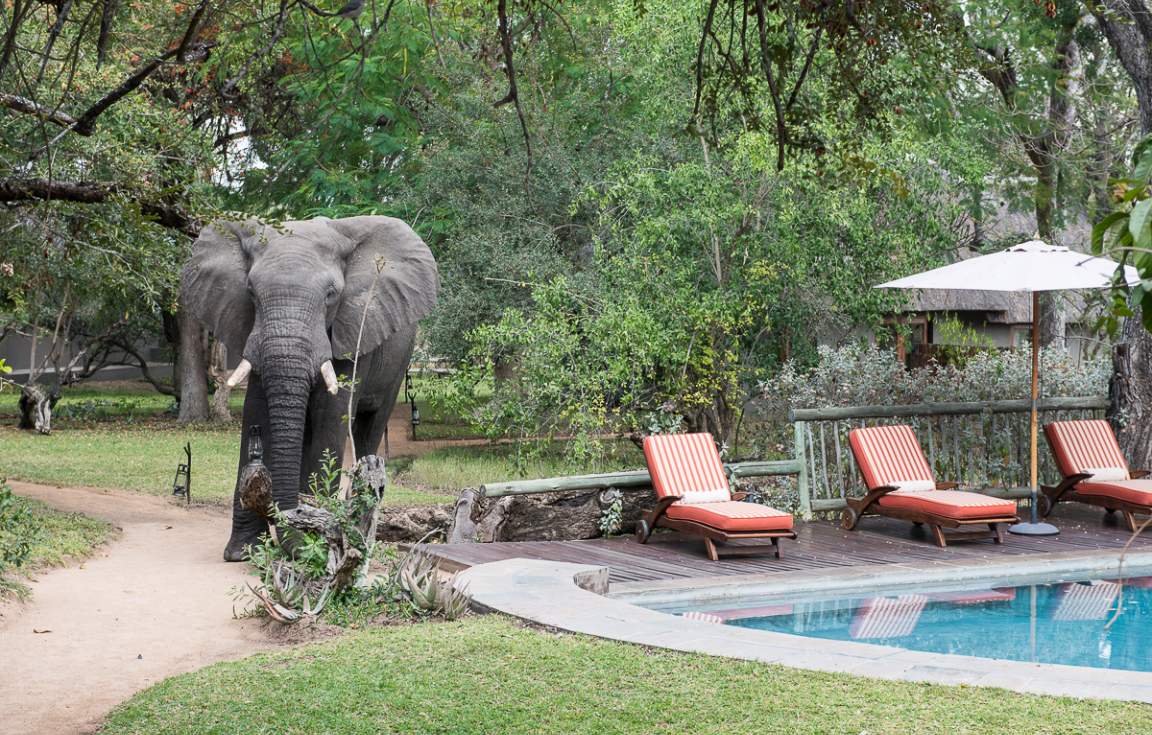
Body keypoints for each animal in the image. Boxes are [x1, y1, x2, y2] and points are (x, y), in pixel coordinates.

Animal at [182, 216, 437, 562]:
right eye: (250, 292)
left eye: (331, 295)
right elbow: (255, 410)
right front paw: (243, 553)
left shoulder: (348, 331)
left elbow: (329, 417)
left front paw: (311, 544)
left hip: (399, 361)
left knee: (369, 427)